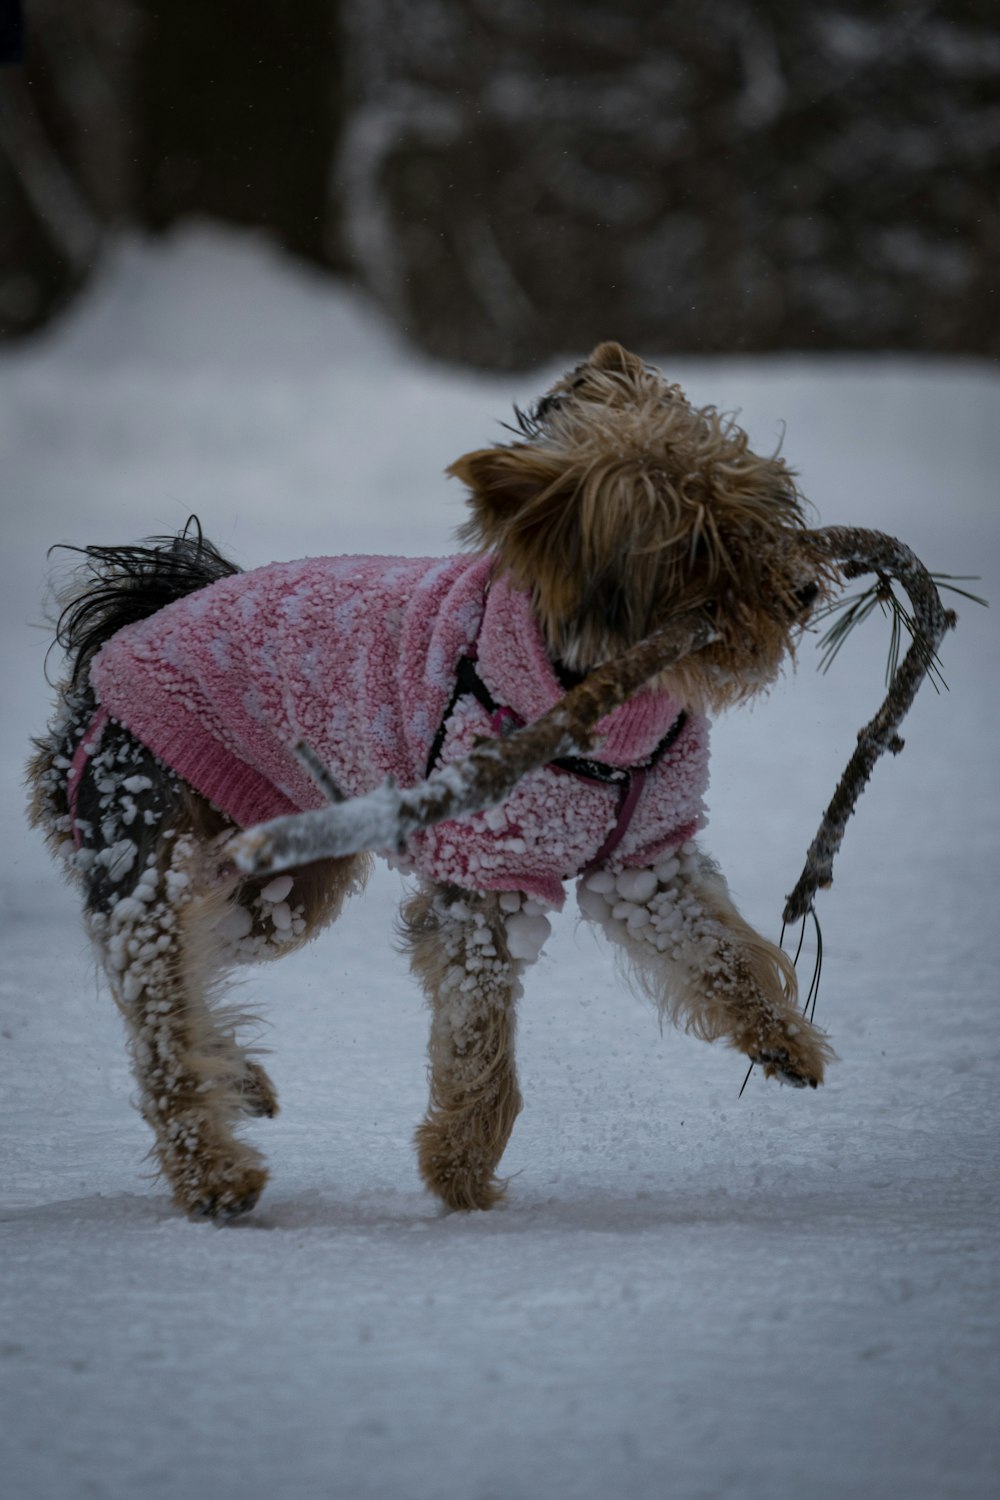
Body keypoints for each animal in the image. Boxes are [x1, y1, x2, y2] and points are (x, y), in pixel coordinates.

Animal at [27, 345, 833, 1224]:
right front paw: (461, 1164)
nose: (802, 589)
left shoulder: (645, 862)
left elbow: (723, 951)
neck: (595, 697)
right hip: (150, 844)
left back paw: (239, 1079)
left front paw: (782, 1037)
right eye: (693, 544)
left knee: (206, 961)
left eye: (759, 502)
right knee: (162, 1011)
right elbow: (478, 1038)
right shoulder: (485, 880)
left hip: (283, 881)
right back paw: (214, 1173)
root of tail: (117, 641)